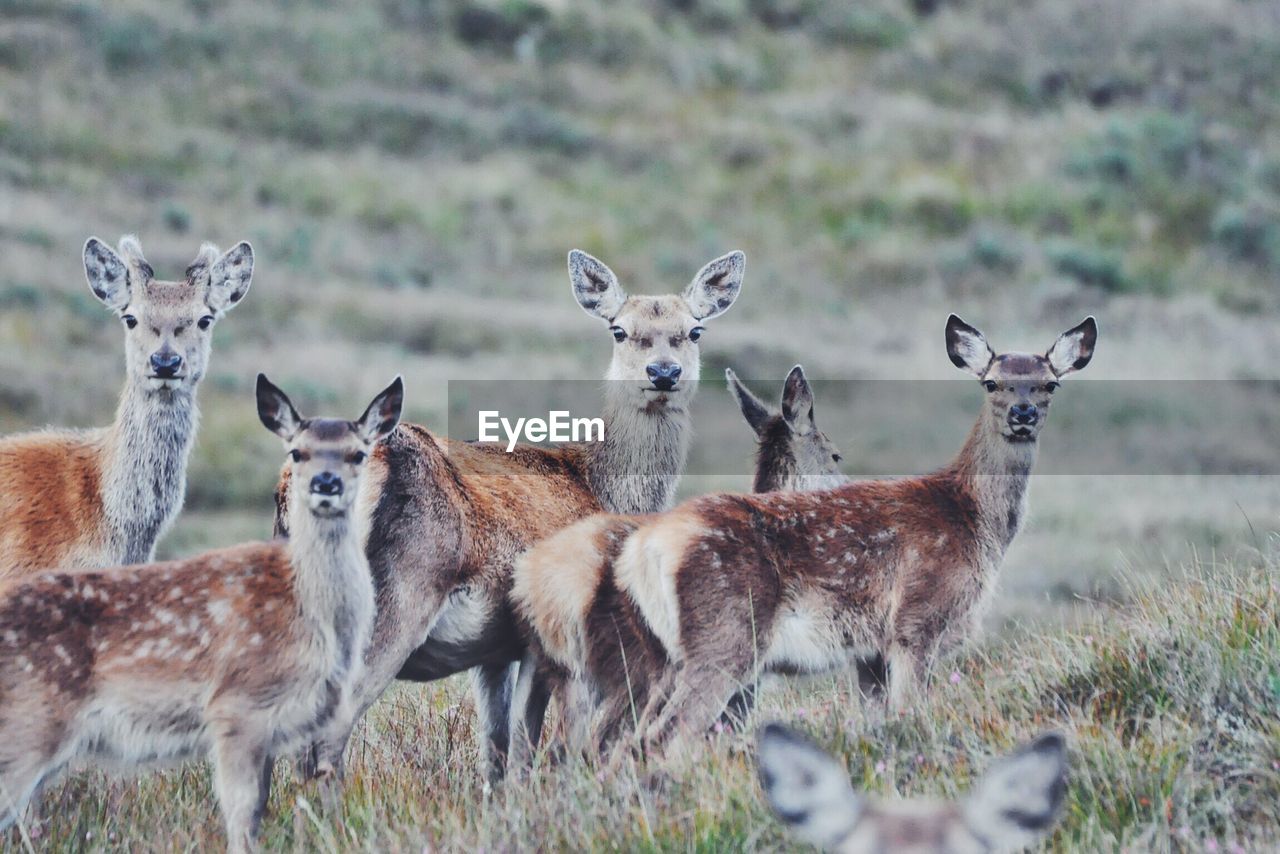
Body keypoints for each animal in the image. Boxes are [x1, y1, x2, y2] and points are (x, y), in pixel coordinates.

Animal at [0, 373, 399, 854]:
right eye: (296, 451)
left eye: (358, 453)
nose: (326, 483)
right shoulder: (235, 708)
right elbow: (241, 812)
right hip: (30, 723)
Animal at [273, 248, 747, 783]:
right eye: (619, 330)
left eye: (695, 330)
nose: (663, 372)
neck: (600, 485)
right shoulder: (554, 631)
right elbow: (534, 748)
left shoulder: (494, 651)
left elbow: (496, 751)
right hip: (400, 594)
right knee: (328, 732)